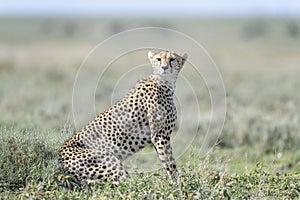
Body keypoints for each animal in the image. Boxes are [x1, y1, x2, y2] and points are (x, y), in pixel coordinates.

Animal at [59, 50, 188, 184]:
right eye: (158, 59)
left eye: (172, 59)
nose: (164, 67)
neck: (166, 83)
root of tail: (60, 156)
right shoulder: (160, 136)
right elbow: (170, 164)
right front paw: (178, 185)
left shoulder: (158, 138)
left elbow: (165, 162)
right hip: (111, 164)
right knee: (126, 184)